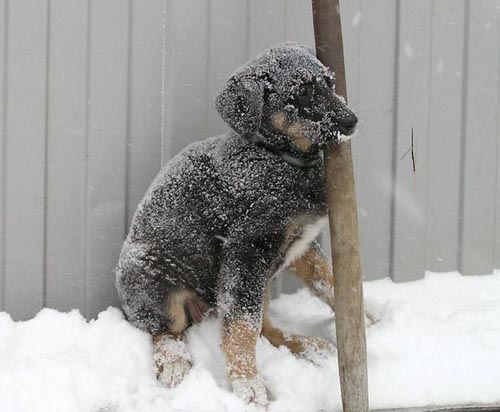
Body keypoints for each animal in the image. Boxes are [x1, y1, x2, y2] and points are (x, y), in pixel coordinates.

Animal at [115, 43, 358, 404]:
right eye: (302, 92)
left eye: (329, 83)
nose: (351, 121)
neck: (278, 157)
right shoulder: (247, 250)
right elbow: (243, 324)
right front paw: (248, 384)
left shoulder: (301, 245)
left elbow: (326, 279)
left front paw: (369, 316)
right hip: (151, 279)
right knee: (165, 330)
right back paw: (174, 362)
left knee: (263, 325)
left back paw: (309, 346)